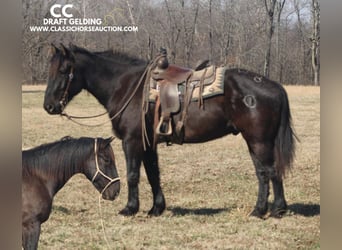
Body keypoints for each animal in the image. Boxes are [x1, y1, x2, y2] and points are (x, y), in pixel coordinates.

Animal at [43, 44, 296, 219]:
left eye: (64, 70)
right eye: (50, 70)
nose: (49, 106)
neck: (127, 86)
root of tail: (274, 86)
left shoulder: (132, 141)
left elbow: (133, 175)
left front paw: (130, 208)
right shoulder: (148, 144)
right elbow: (153, 174)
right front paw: (156, 208)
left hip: (259, 141)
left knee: (267, 172)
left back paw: (265, 210)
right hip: (257, 142)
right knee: (268, 173)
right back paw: (272, 209)